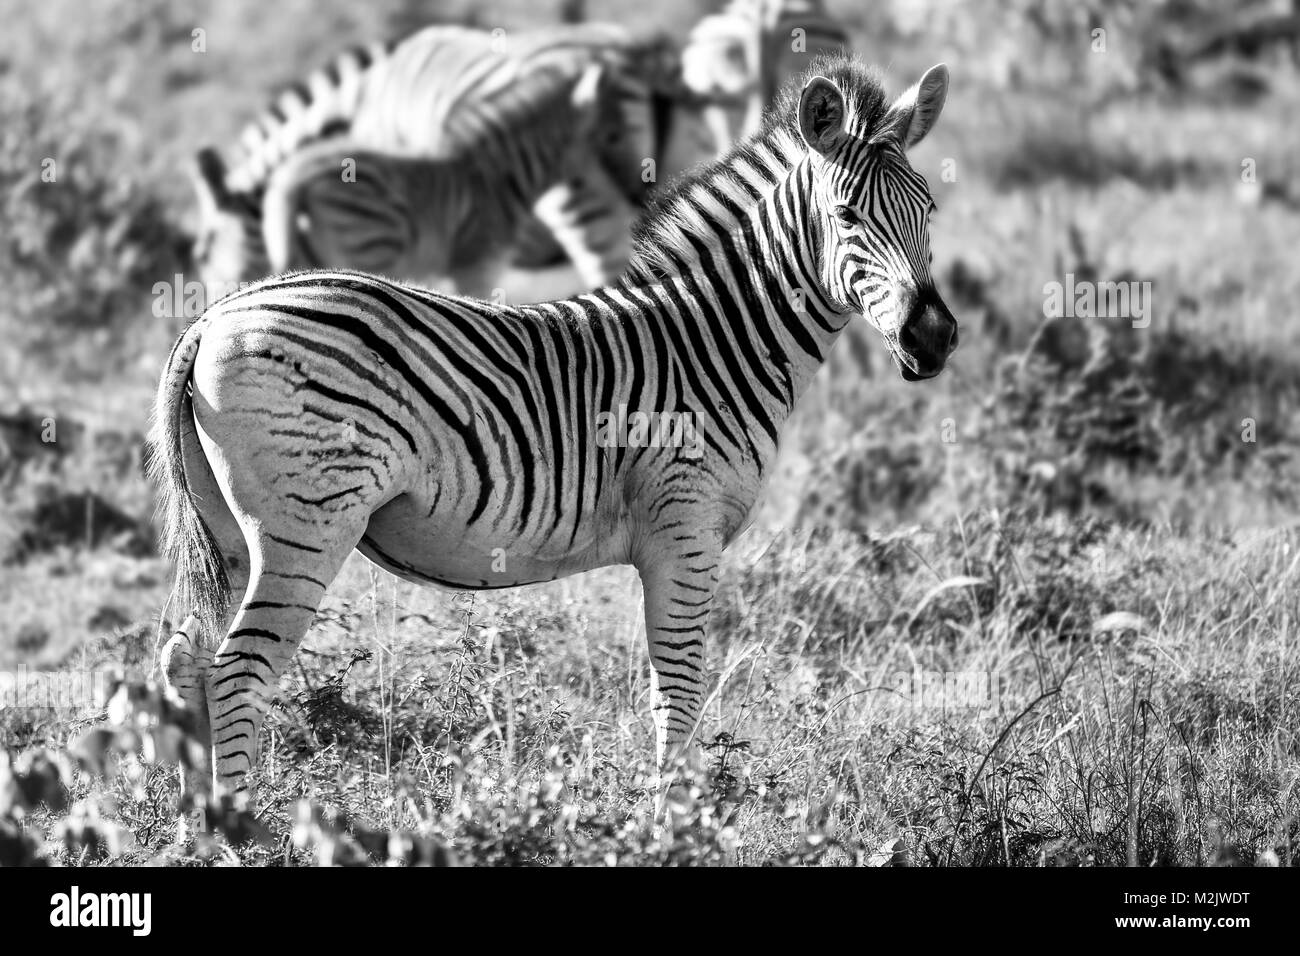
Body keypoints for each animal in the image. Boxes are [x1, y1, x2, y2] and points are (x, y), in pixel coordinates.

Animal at [152, 55, 961, 811]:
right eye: (848, 215)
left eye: (929, 209)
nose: (934, 337)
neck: (711, 343)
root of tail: (210, 318)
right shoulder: (685, 531)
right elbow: (679, 689)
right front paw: (673, 824)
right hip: (306, 526)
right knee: (238, 671)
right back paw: (243, 835)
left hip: (228, 530)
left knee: (186, 657)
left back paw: (199, 829)